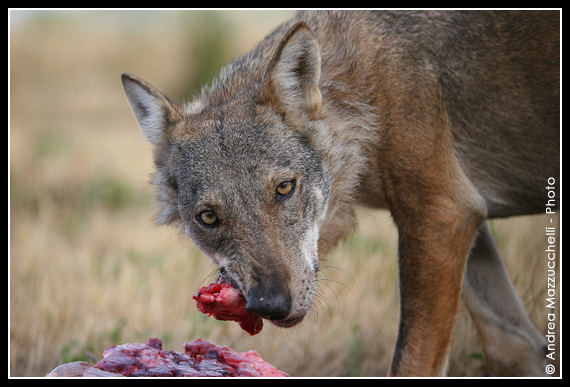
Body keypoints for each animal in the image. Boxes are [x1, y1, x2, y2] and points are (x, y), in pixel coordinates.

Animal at [117, 10, 556, 378]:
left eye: (284, 188)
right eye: (208, 217)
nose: (270, 303)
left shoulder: (440, 214)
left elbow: (409, 362)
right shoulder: (464, 217)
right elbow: (514, 346)